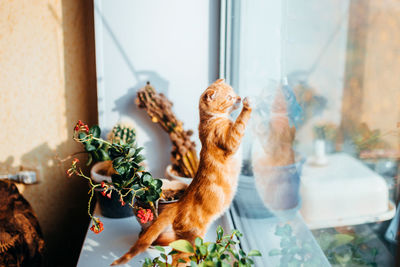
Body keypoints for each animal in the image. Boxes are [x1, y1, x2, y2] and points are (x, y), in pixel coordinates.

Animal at [111, 79, 252, 266]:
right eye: (229, 97)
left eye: (234, 93)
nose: (238, 98)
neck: (210, 120)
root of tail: (177, 204)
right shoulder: (229, 140)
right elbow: (240, 124)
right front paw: (248, 106)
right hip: (191, 241)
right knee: (177, 260)